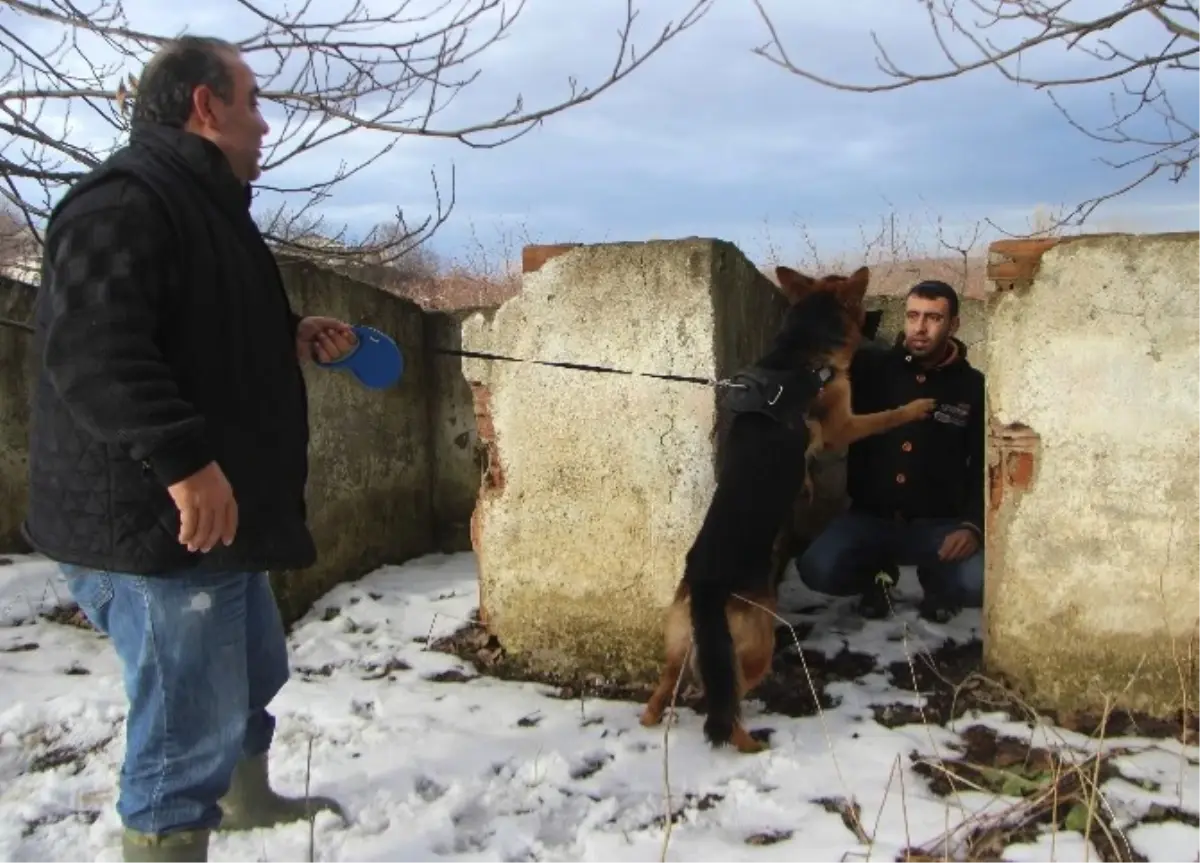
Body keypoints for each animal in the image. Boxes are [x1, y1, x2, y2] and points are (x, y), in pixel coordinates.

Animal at [638, 266, 936, 753]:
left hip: (678, 644)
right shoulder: (843, 426)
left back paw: (655, 718)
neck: (800, 351)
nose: (882, 324)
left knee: (662, 692)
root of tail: (707, 587)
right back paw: (750, 744)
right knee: (725, 703)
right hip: (754, 647)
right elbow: (885, 417)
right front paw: (916, 406)